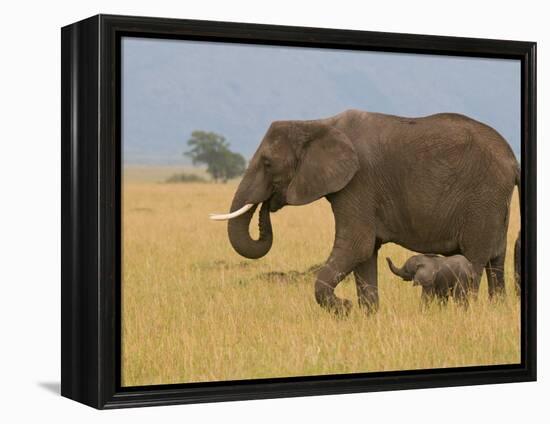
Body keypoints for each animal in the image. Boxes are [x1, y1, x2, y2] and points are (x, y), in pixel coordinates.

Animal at [209, 109, 520, 314]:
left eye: (268, 163)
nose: (268, 204)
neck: (317, 124)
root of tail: (513, 160)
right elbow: (366, 253)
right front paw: (368, 315)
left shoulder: (358, 182)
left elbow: (356, 247)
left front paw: (345, 310)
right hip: (493, 204)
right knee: (496, 261)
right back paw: (496, 310)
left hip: (482, 198)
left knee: (474, 259)